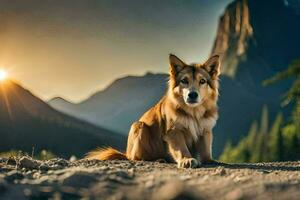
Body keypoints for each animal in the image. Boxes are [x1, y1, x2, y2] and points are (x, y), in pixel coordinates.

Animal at [86, 54, 220, 168]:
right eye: (184, 81)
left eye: (202, 81)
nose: (192, 95)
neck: (193, 113)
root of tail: (126, 153)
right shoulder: (173, 132)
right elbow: (182, 148)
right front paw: (187, 159)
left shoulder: (205, 130)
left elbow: (206, 149)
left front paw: (210, 160)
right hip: (139, 126)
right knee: (136, 157)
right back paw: (158, 159)